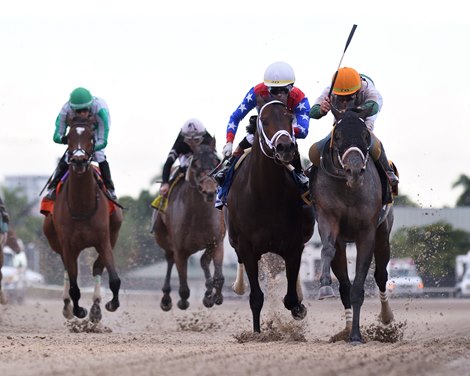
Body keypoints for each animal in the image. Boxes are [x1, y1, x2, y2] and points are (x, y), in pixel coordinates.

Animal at [43, 115, 123, 324]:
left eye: (91, 137)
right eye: (69, 137)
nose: (78, 160)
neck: (82, 206)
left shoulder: (104, 240)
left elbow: (114, 279)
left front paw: (111, 304)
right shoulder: (67, 245)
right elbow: (74, 286)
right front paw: (78, 310)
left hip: (111, 236)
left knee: (96, 268)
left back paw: (96, 307)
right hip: (56, 242)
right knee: (67, 271)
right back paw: (67, 307)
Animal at [154, 138, 226, 312]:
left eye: (217, 161)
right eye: (195, 164)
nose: (210, 191)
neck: (198, 216)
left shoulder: (217, 242)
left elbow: (218, 276)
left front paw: (215, 297)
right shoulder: (180, 250)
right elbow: (184, 287)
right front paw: (182, 301)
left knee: (204, 261)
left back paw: (208, 293)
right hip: (164, 239)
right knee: (169, 260)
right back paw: (166, 298)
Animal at [226, 99, 314, 332]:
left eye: (290, 118)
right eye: (264, 121)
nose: (285, 147)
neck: (267, 194)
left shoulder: (293, 246)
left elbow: (291, 298)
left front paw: (299, 308)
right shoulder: (247, 248)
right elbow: (256, 297)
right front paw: (257, 333)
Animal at [310, 108, 394, 344]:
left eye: (366, 136)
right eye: (337, 136)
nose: (354, 170)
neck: (348, 189)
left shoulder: (367, 233)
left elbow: (358, 287)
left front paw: (356, 335)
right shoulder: (328, 219)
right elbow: (328, 251)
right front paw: (324, 286)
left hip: (383, 236)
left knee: (381, 275)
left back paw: (386, 317)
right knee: (345, 285)